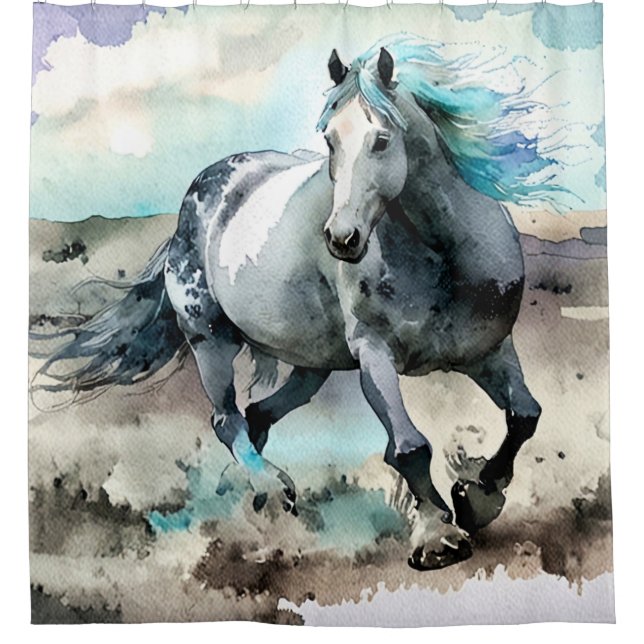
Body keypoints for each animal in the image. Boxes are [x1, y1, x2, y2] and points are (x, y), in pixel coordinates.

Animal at [32, 34, 561, 570]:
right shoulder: (375, 354)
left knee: (258, 415)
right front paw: (437, 537)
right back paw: (271, 488)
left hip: (314, 360)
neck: (443, 255)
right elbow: (410, 446)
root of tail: (199, 196)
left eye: (382, 139)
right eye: (329, 139)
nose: (343, 239)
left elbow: (525, 416)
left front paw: (478, 498)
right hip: (209, 338)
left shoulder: (488, 349)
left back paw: (251, 491)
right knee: (227, 419)